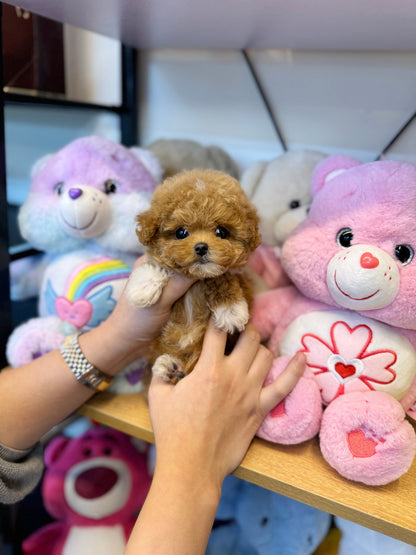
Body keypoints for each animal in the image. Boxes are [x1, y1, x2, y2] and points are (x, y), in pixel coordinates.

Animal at [125, 167, 260, 382]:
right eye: (181, 232)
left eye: (221, 232)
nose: (201, 247)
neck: (195, 279)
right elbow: (154, 266)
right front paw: (143, 287)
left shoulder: (235, 276)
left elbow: (223, 278)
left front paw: (231, 310)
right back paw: (169, 367)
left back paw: (173, 369)